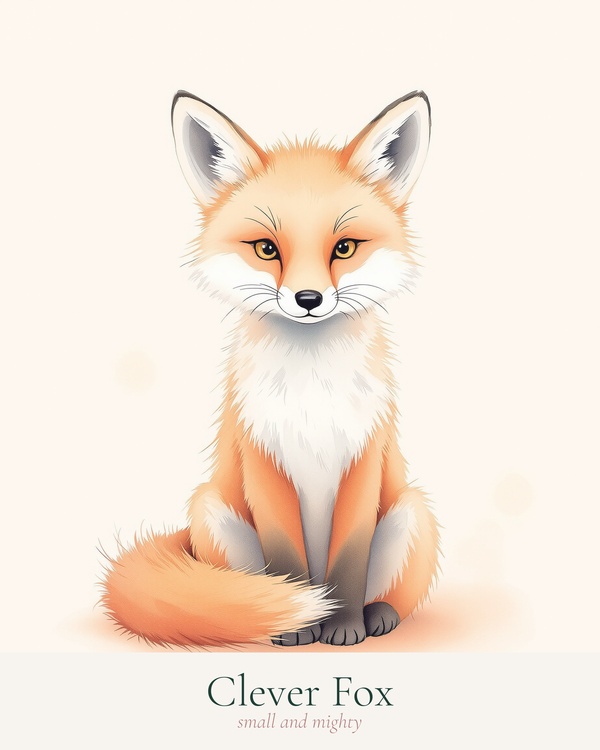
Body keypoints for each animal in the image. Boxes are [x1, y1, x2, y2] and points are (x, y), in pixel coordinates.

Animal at [101, 90, 440, 648]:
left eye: (344, 248)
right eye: (266, 249)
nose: (308, 299)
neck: (313, 388)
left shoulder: (363, 457)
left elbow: (349, 560)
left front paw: (342, 626)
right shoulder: (262, 455)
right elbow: (287, 563)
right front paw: (300, 627)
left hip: (412, 511)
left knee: (391, 591)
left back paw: (377, 615)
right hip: (213, 512)